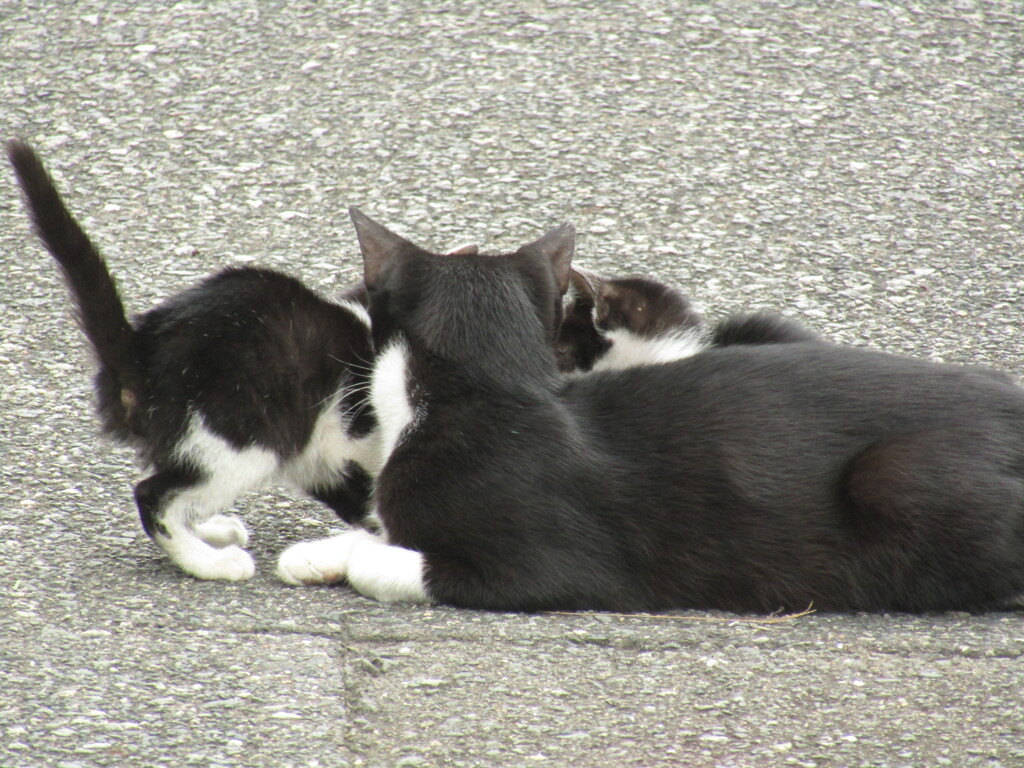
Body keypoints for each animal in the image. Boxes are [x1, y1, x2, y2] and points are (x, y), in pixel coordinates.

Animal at [7, 140, 387, 581]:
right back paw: (210, 562)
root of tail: (141, 350)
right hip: (246, 437)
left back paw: (212, 531)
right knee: (153, 495)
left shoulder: (332, 459)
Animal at [280, 208, 1024, 614]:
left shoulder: (551, 567)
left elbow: (393, 562)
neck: (489, 391)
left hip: (898, 476)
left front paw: (353, 555)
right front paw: (317, 552)